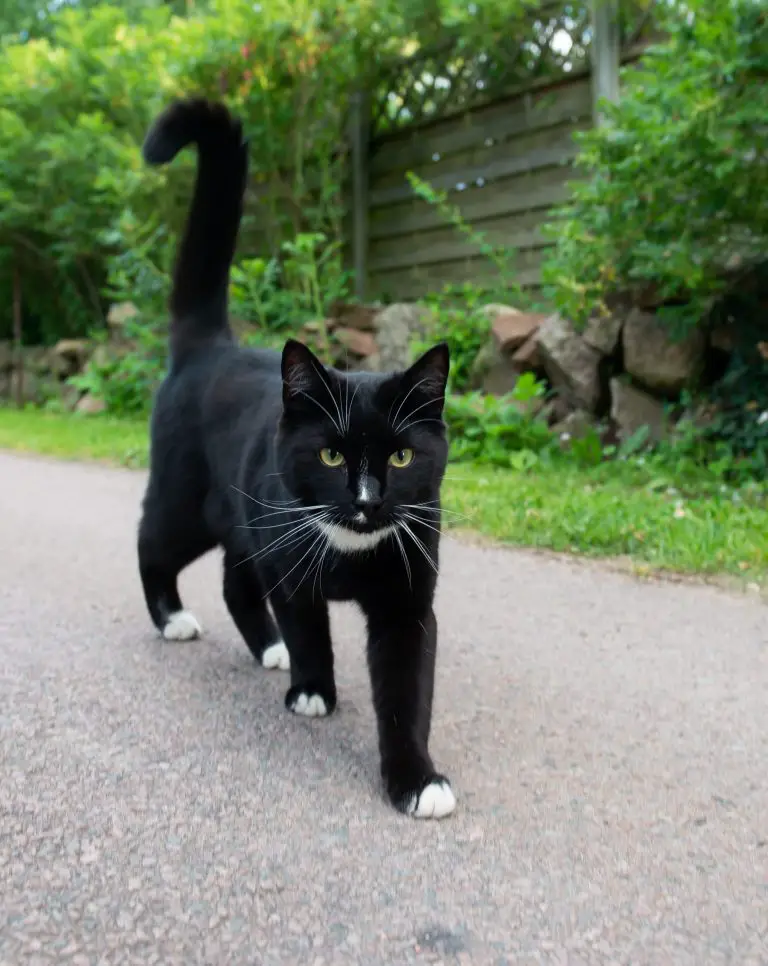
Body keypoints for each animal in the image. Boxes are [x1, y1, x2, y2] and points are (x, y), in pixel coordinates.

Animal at [138, 98, 456, 820]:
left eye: (401, 456)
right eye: (332, 452)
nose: (367, 500)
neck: (351, 551)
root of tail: (209, 345)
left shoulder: (407, 598)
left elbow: (407, 690)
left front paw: (416, 779)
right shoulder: (288, 562)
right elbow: (309, 625)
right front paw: (314, 689)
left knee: (234, 582)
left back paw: (268, 648)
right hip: (187, 498)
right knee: (151, 543)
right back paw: (174, 619)